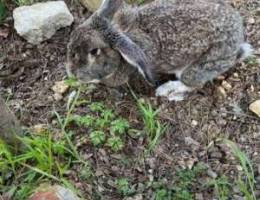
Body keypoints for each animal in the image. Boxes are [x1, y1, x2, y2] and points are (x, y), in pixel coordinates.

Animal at [66, 0, 253, 101]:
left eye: (94, 51)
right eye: (72, 37)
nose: (72, 73)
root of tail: (237, 45)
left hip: (200, 67)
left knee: (193, 83)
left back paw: (167, 91)